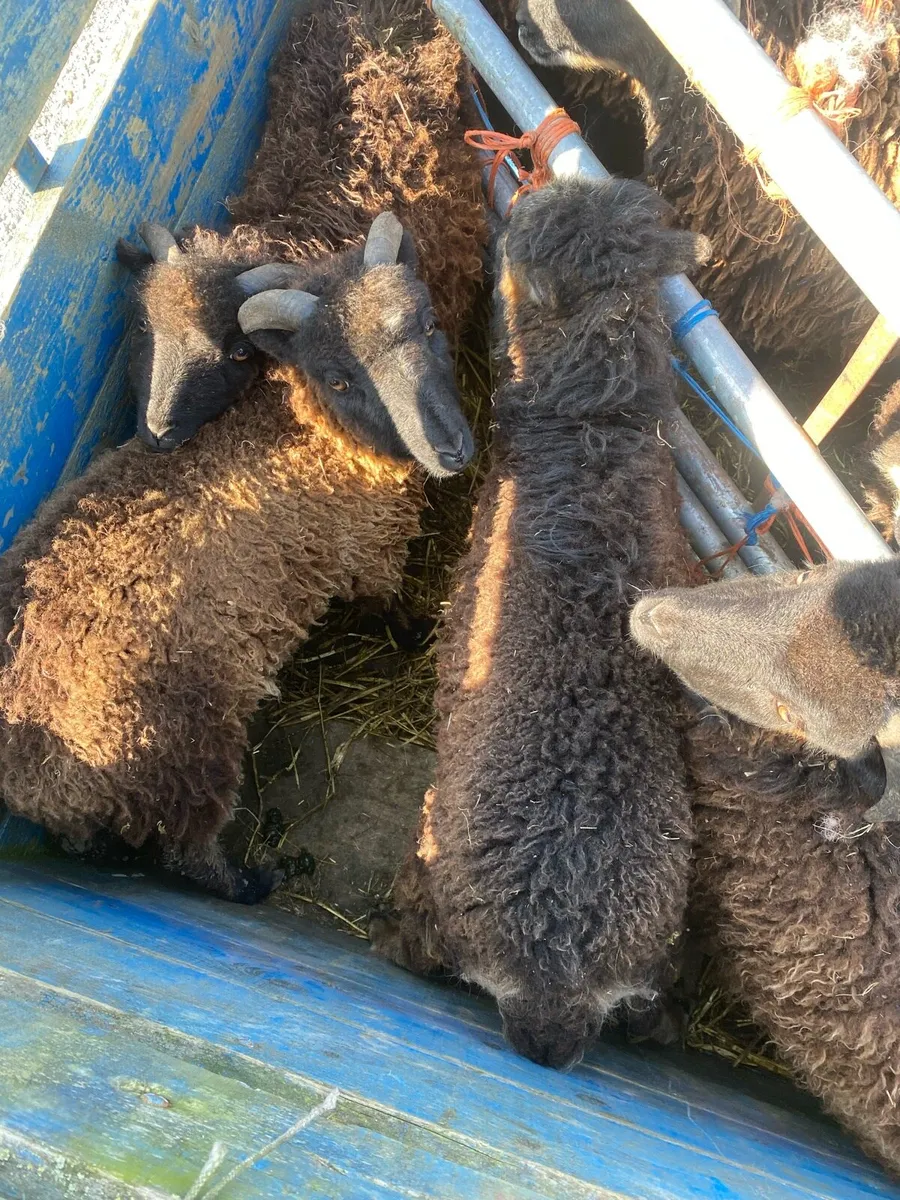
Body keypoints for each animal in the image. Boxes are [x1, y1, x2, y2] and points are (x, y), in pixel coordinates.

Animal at [0, 215, 471, 903]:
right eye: (340, 377)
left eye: (430, 326)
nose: (451, 448)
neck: (304, 420)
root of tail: (28, 777)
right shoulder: (368, 546)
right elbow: (386, 603)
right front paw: (417, 635)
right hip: (184, 752)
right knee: (190, 851)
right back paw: (258, 878)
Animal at [369, 176, 710, 1068]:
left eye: (516, 258)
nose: (524, 194)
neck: (595, 431)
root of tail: (559, 985)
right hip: (656, 959)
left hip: (437, 871)